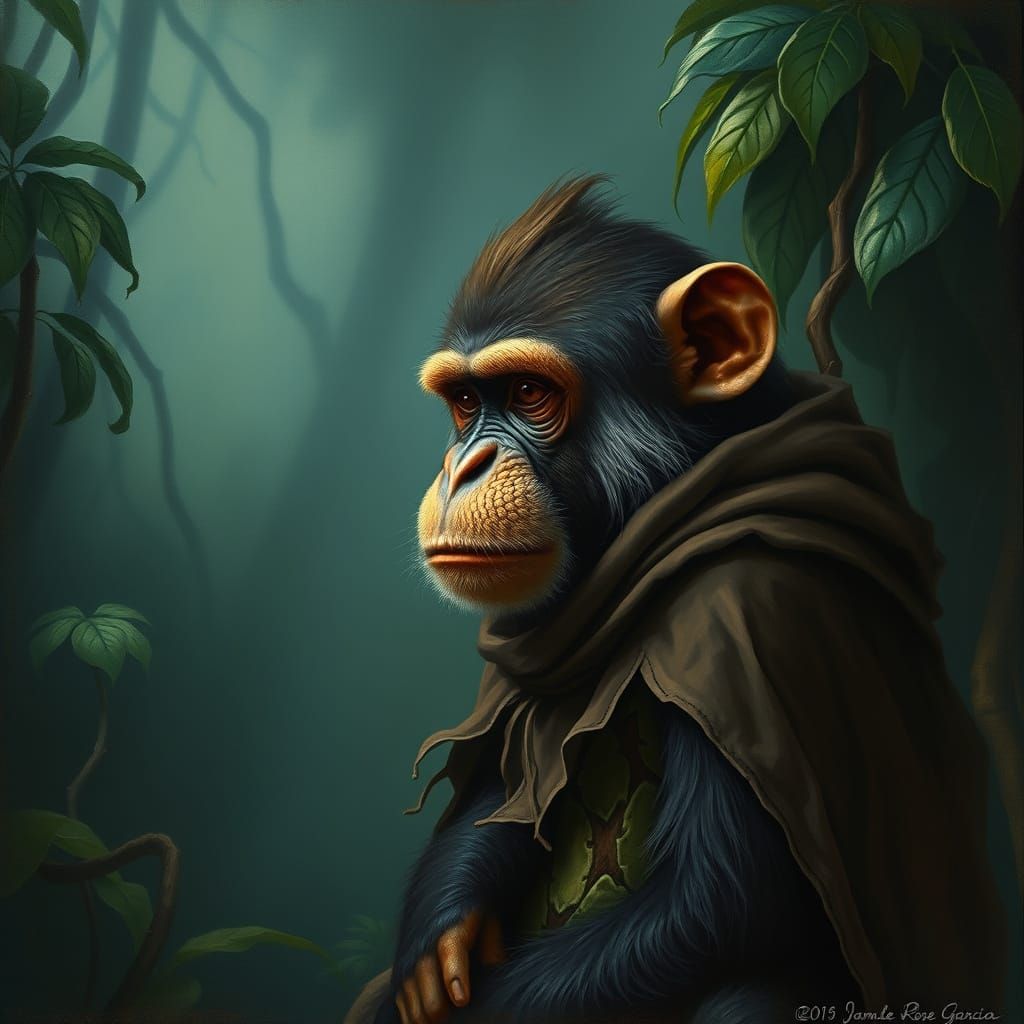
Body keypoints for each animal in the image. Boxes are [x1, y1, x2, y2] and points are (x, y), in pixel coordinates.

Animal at [345, 176, 1005, 1024]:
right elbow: (503, 784)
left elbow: (716, 905)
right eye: (464, 401)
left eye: (527, 392)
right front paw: (438, 938)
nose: (465, 463)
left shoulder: (747, 630)